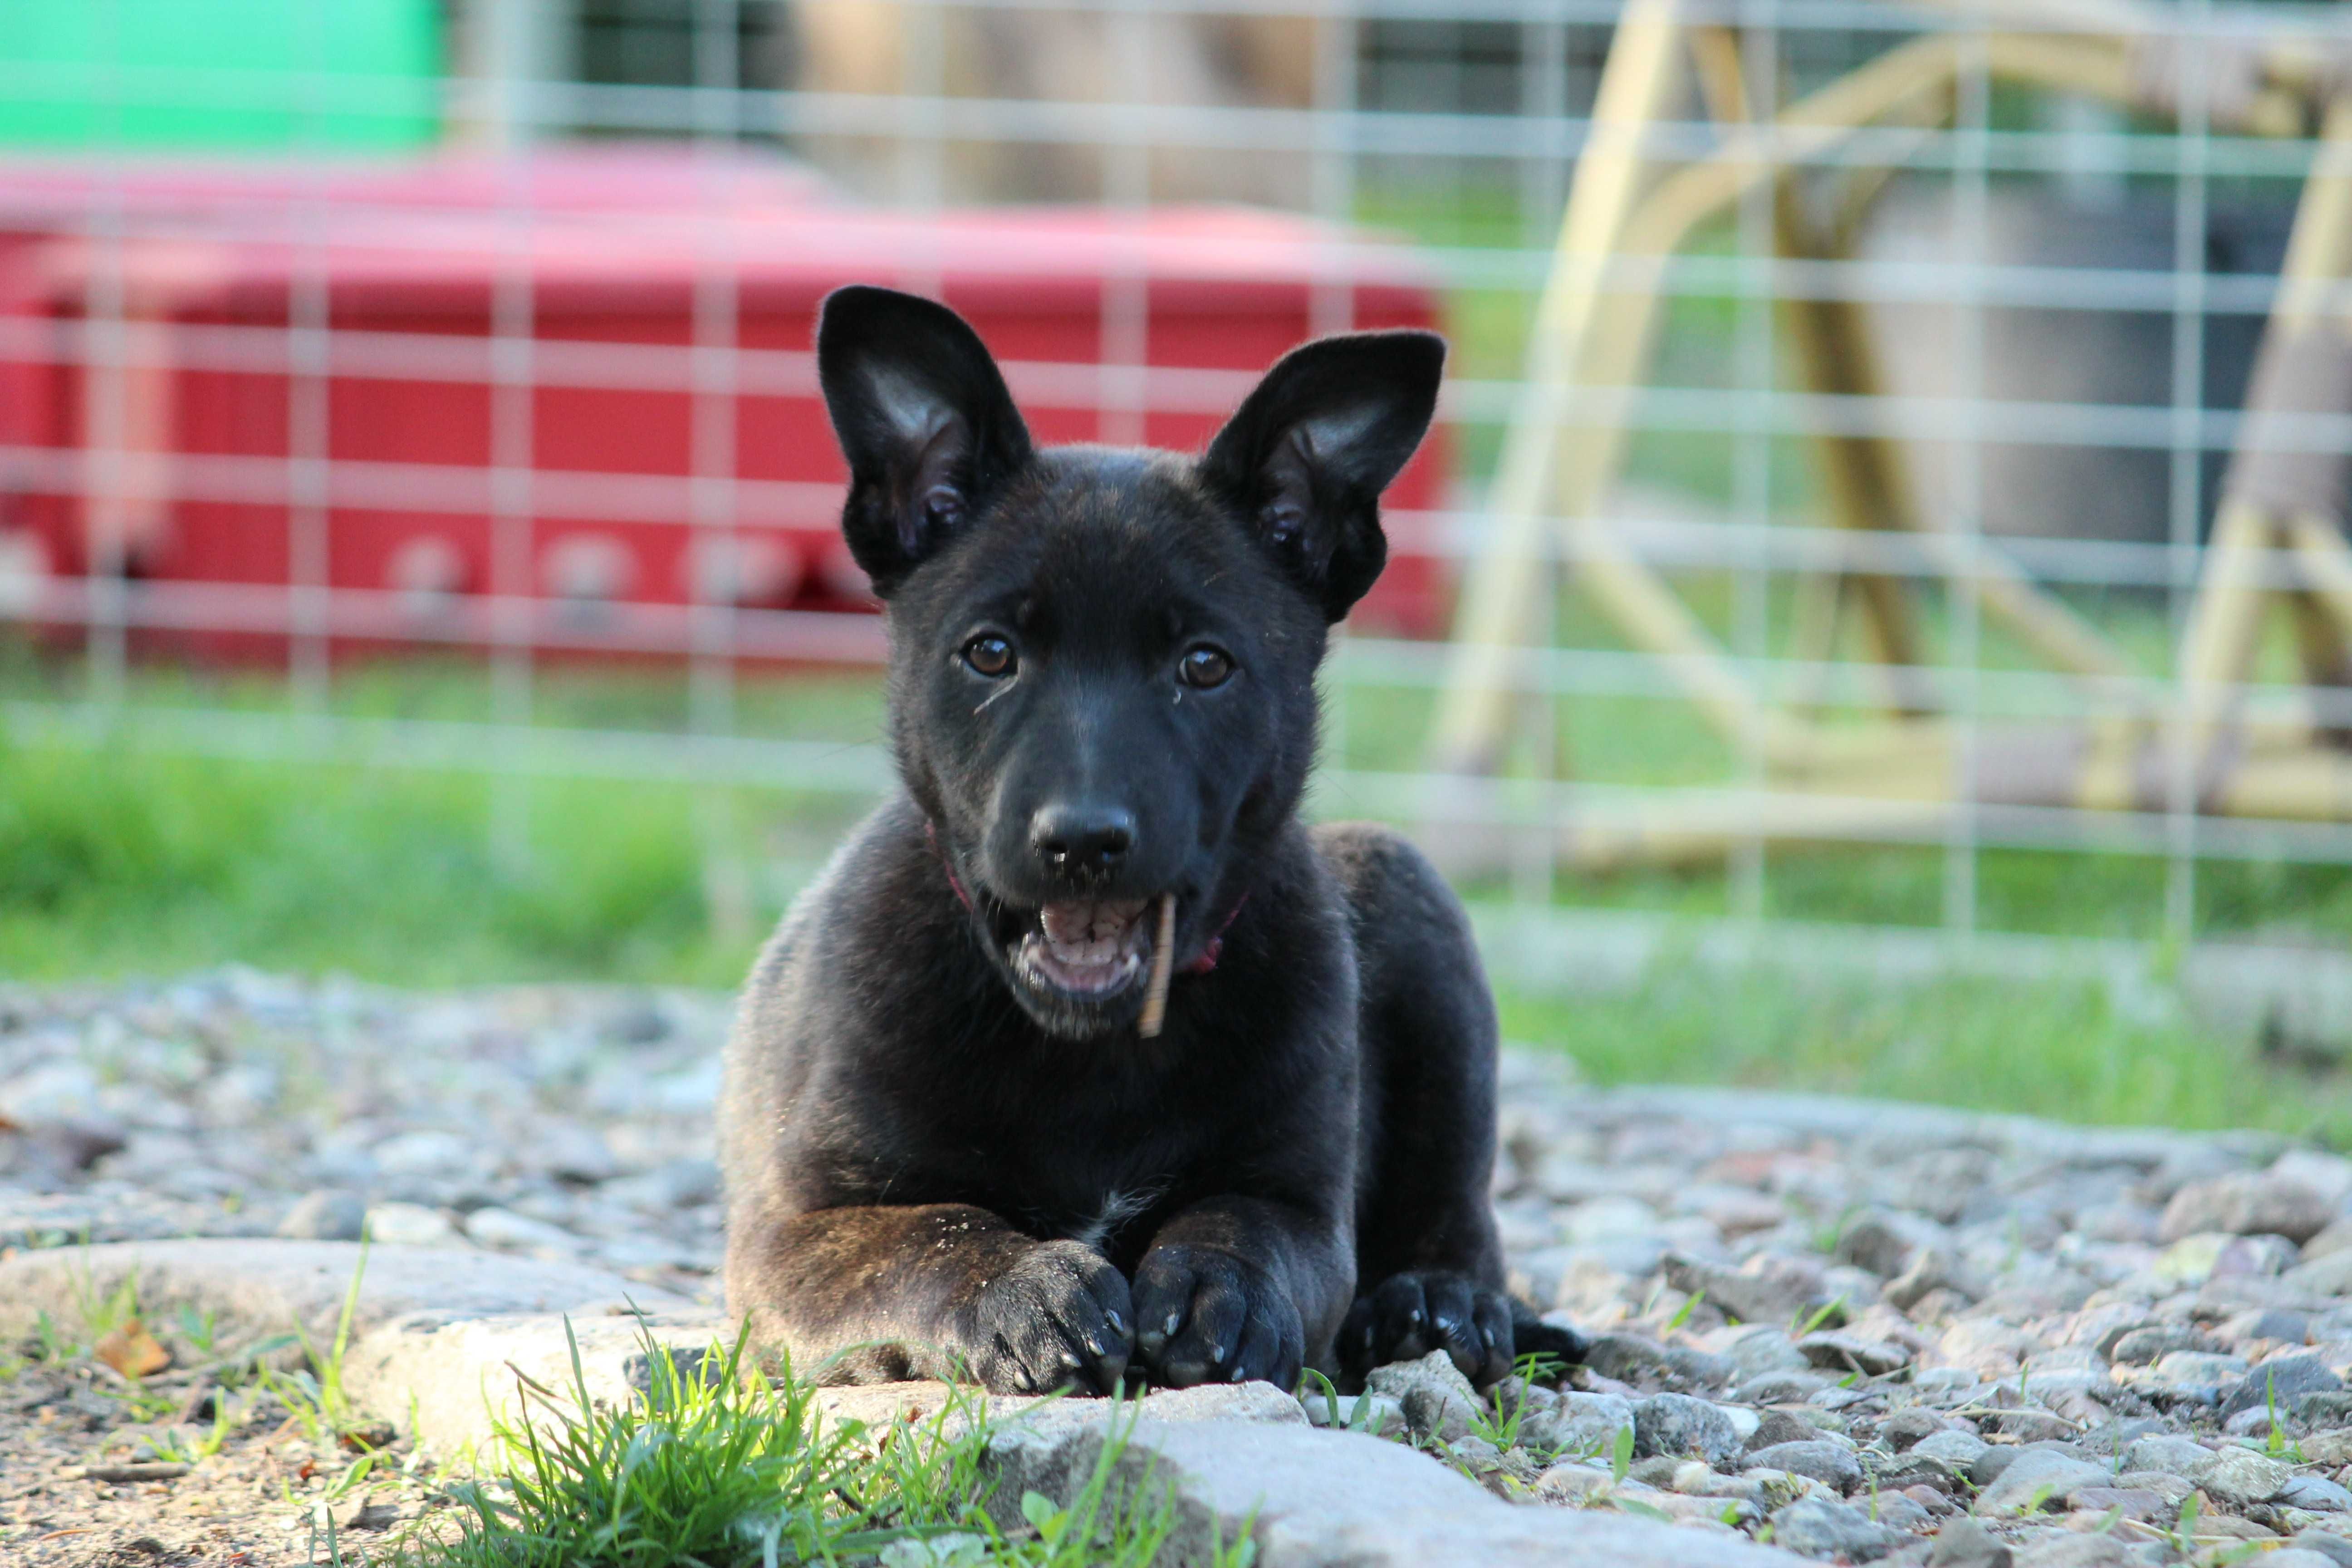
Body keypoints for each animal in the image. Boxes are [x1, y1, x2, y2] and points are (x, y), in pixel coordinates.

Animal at [715, 288, 1580, 1392]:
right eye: (989, 653)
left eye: (1204, 666)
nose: (1083, 841)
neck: (1092, 1049)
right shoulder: (798, 1232)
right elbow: (930, 1232)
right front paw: (1023, 1289)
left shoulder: (1301, 1204)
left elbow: (1244, 1222)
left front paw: (1217, 1285)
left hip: (1406, 889)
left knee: (1459, 1212)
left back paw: (1441, 1303)